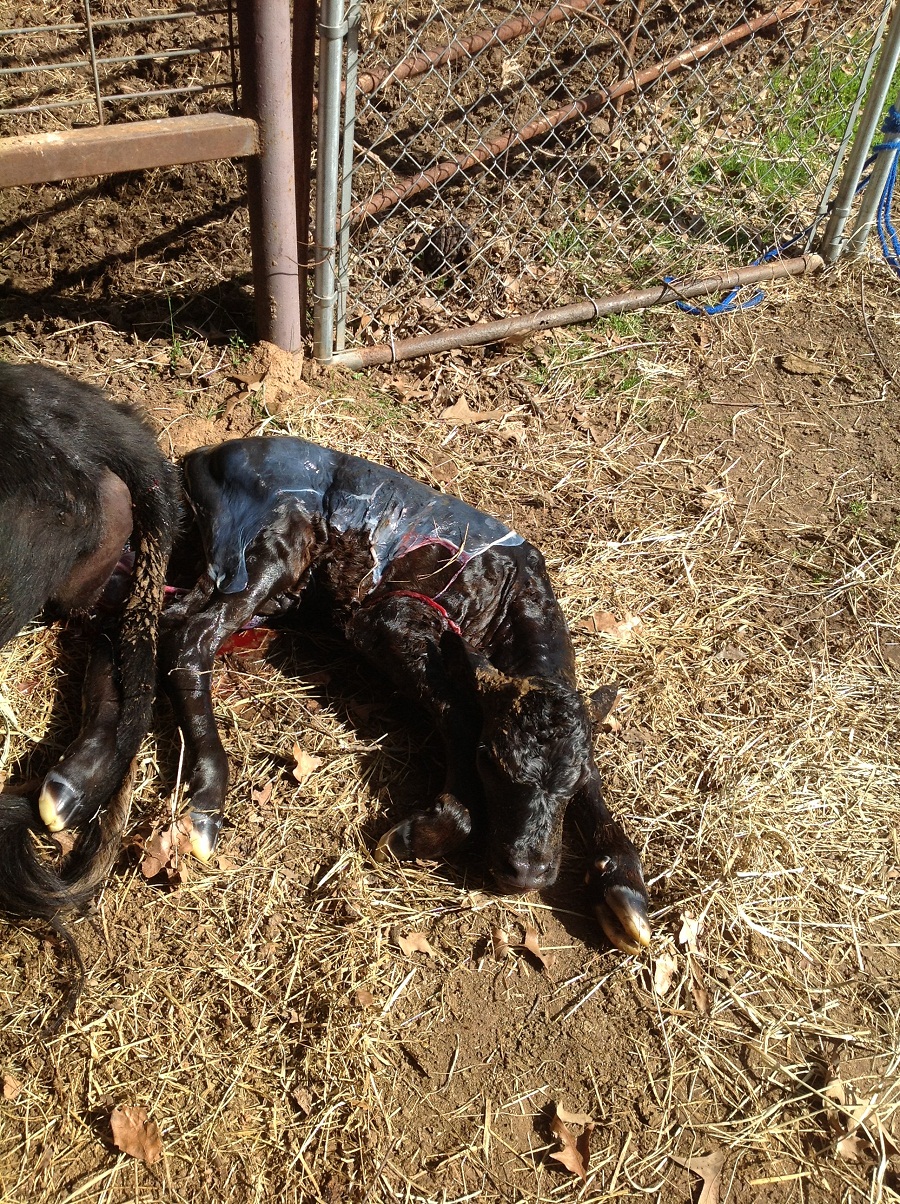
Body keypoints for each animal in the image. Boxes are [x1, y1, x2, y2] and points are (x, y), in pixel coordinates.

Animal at [160, 437, 650, 954]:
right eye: (488, 761)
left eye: (568, 786)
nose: (528, 872)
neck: (510, 596)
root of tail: (205, 455)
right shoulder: (384, 620)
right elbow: (460, 712)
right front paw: (420, 833)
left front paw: (625, 892)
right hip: (266, 546)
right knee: (190, 638)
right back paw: (207, 798)